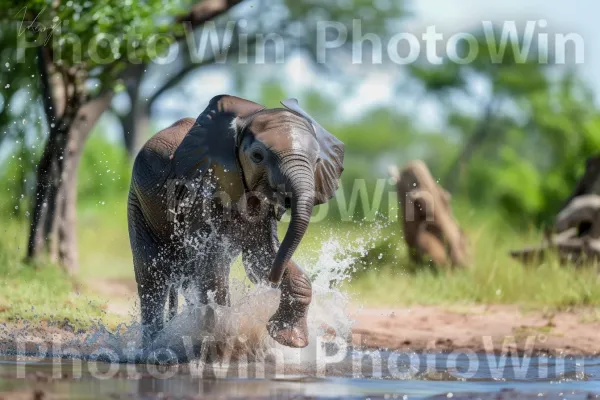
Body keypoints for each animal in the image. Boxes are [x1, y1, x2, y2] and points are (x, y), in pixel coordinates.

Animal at [129, 93, 344, 346]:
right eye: (257, 156)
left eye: (317, 159)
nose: (273, 281)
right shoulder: (202, 192)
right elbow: (212, 267)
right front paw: (224, 339)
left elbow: (261, 256)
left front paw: (290, 341)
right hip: (138, 203)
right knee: (152, 278)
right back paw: (153, 347)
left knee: (187, 278)